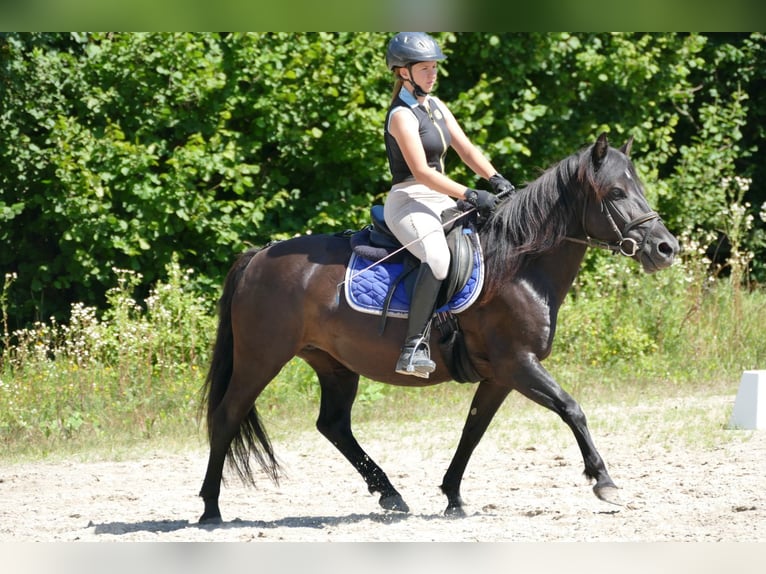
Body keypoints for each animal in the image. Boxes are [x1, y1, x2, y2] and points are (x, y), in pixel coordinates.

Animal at [196, 135, 680, 528]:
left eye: (639, 188)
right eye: (615, 192)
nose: (665, 248)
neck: (519, 266)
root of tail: (260, 255)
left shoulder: (501, 375)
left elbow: (473, 429)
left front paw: (452, 496)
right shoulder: (518, 363)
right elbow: (571, 409)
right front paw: (604, 480)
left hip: (334, 364)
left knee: (333, 425)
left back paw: (390, 495)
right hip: (261, 359)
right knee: (227, 416)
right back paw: (210, 509)